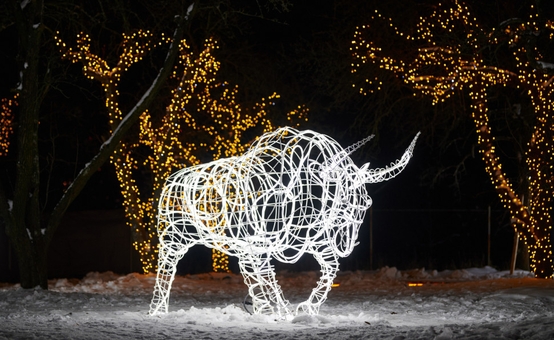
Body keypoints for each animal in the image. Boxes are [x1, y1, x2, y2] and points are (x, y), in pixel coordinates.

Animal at [149, 126, 416, 318]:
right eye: (342, 199)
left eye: (365, 203)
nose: (347, 245)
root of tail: (171, 181)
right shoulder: (259, 244)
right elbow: (267, 280)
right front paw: (278, 312)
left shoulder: (310, 239)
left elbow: (328, 268)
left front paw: (305, 308)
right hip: (173, 239)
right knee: (166, 271)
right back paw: (157, 311)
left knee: (253, 274)